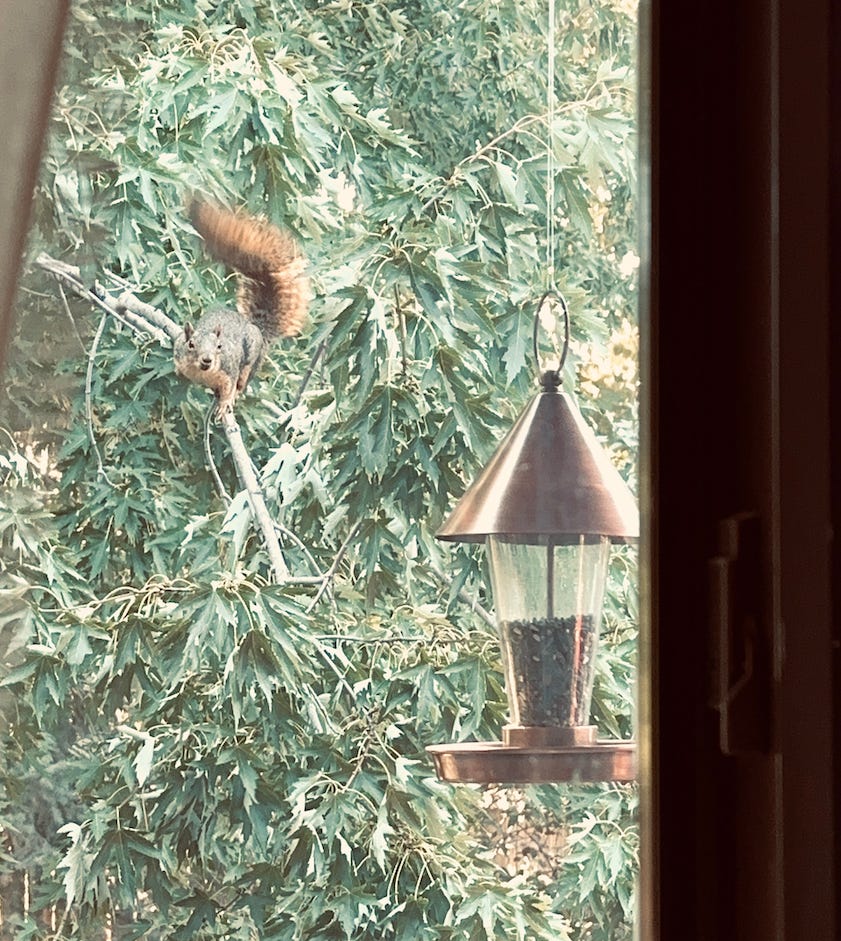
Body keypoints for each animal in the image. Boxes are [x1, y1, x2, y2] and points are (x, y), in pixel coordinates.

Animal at [174, 198, 310, 417]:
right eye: (191, 344)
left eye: (219, 347)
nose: (207, 360)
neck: (201, 373)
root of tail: (258, 329)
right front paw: (177, 370)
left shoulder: (229, 370)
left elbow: (230, 387)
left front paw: (226, 402)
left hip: (251, 359)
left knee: (243, 381)